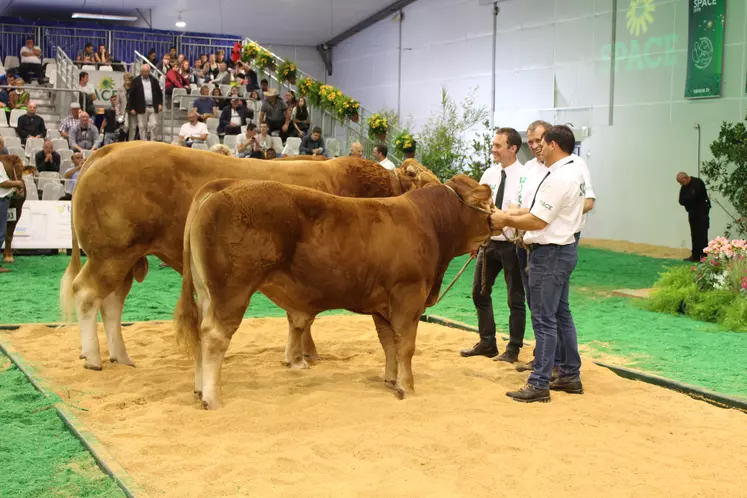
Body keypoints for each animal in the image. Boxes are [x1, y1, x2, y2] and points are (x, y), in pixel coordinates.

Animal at [61, 140, 442, 370]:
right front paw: (303, 356)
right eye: (429, 185)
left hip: (124, 259)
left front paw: (303, 354)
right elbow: (304, 317)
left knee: (111, 304)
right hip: (111, 253)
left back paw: (121, 357)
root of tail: (112, 148)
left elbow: (301, 316)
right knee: (87, 295)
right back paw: (93, 358)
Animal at [172, 175, 494, 408]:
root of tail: (224, 185)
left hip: (206, 293)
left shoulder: (383, 306)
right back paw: (212, 398)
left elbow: (389, 344)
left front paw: (391, 382)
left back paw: (199, 389)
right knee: (215, 336)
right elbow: (406, 345)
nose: (499, 220)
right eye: (489, 202)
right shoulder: (409, 295)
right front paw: (409, 388)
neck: (429, 222)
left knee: (200, 333)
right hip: (231, 290)